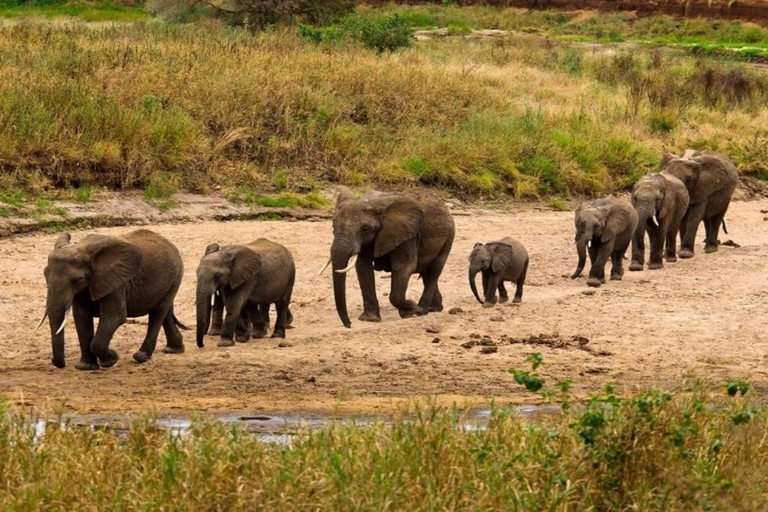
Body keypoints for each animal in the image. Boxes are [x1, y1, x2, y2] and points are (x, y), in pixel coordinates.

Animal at [39, 230, 188, 370]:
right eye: (45, 275)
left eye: (76, 280)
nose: (56, 362)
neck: (83, 250)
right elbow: (81, 317)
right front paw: (85, 367)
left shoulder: (117, 283)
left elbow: (115, 316)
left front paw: (111, 360)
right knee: (166, 311)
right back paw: (173, 349)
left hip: (177, 274)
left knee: (158, 313)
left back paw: (141, 357)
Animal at [320, 189, 456, 328]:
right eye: (333, 226)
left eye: (365, 229)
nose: (349, 325)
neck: (373, 204)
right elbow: (363, 269)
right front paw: (370, 319)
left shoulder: (406, 235)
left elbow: (403, 267)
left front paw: (411, 309)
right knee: (426, 273)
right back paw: (434, 309)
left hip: (449, 236)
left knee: (434, 270)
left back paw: (422, 311)